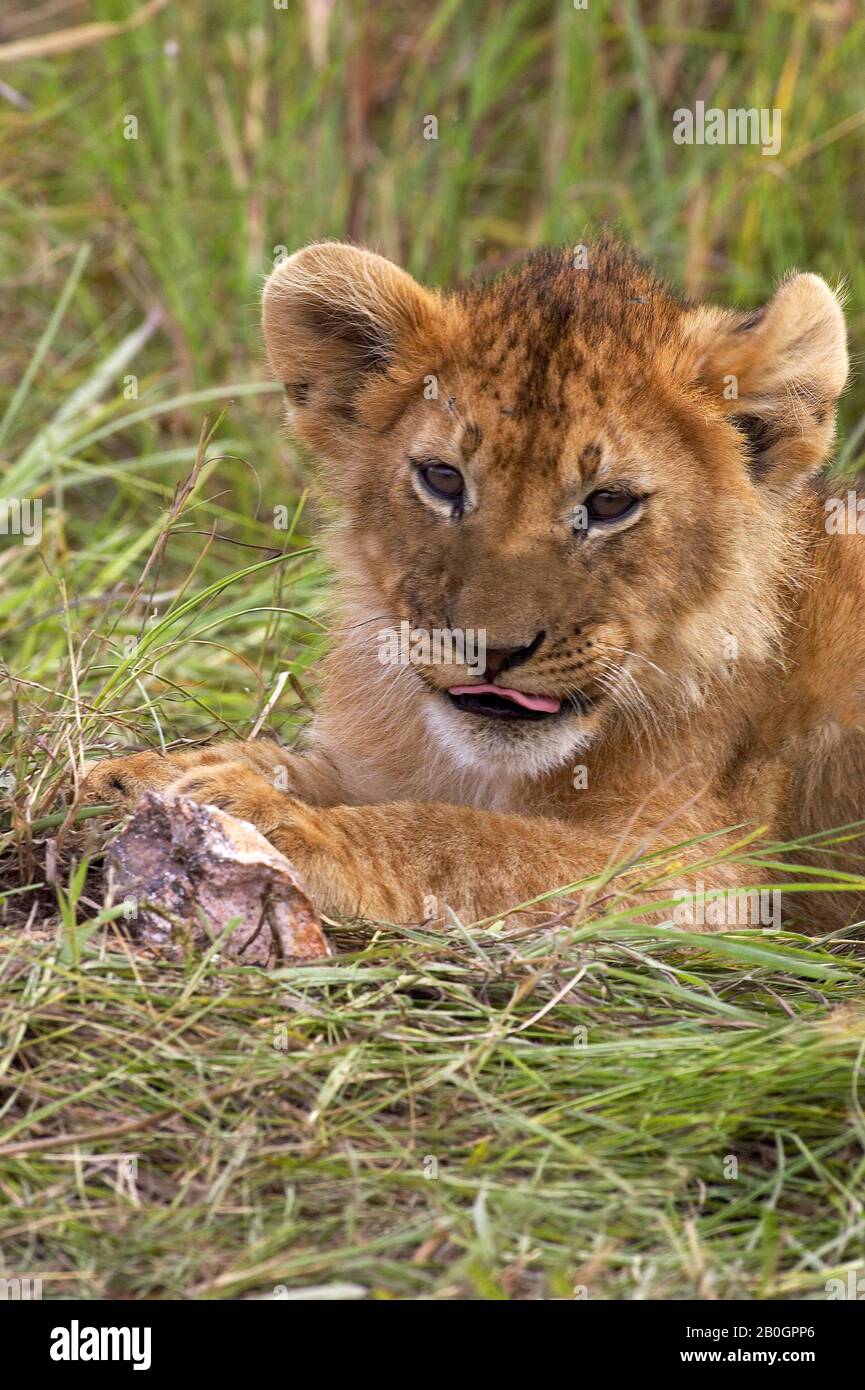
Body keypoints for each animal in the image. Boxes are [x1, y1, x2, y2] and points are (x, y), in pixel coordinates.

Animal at [83, 237, 863, 930]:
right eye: (442, 479)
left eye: (610, 503)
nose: (493, 650)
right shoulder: (383, 764)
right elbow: (291, 764)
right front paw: (133, 775)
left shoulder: (692, 866)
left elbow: (459, 841)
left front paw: (278, 820)